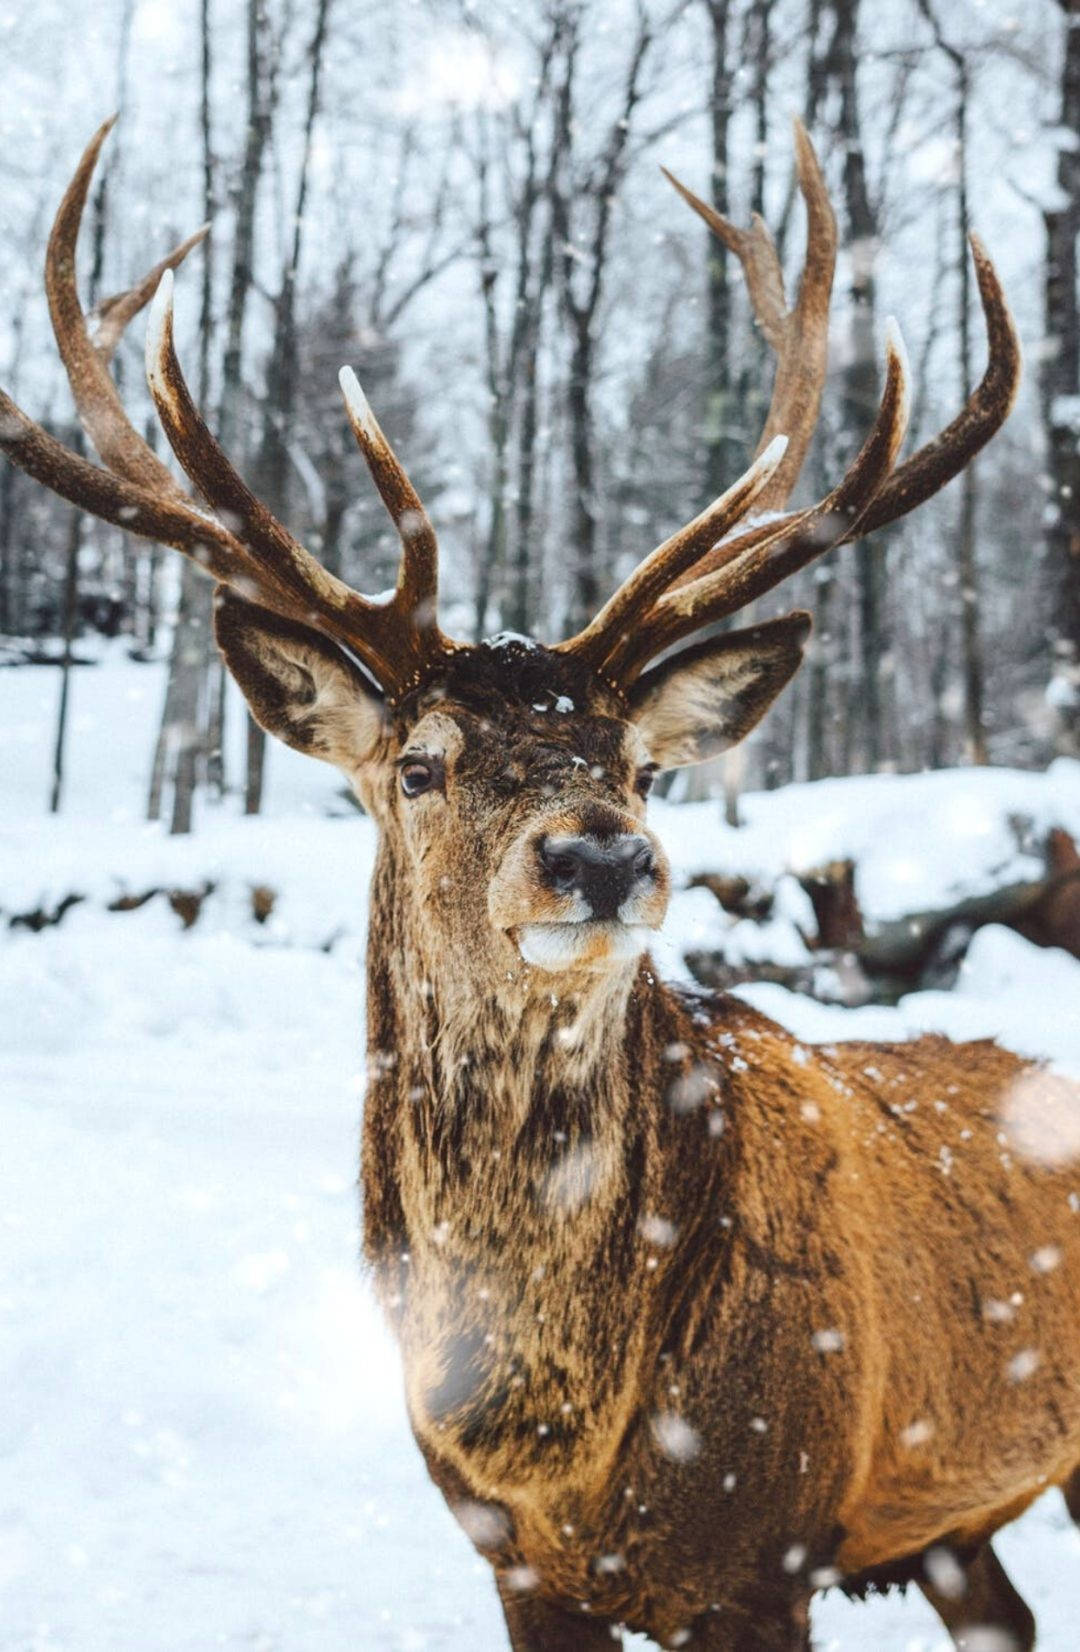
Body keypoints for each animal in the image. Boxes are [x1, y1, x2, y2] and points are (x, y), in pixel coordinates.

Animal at [2, 119, 1080, 1652]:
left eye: (640, 764)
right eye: (419, 764)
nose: (600, 853)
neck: (562, 1444)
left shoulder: (772, 1551)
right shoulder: (509, 1559)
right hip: (955, 1530)